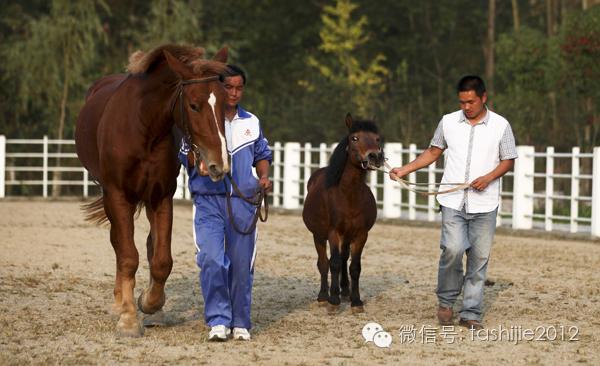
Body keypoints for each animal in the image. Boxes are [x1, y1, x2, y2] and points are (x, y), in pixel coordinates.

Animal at [76, 43, 231, 338]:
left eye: (225, 105)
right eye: (194, 105)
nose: (219, 163)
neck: (142, 126)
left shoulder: (161, 197)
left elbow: (161, 259)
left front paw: (150, 303)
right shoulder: (118, 196)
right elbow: (127, 255)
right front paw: (127, 319)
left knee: (148, 246)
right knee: (119, 244)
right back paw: (119, 303)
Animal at [302, 113, 382, 314]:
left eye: (377, 138)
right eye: (355, 138)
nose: (375, 156)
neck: (348, 195)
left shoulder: (361, 234)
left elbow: (355, 267)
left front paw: (356, 301)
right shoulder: (333, 233)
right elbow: (334, 263)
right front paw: (333, 301)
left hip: (347, 237)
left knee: (344, 259)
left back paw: (344, 291)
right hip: (319, 235)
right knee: (324, 263)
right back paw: (324, 296)